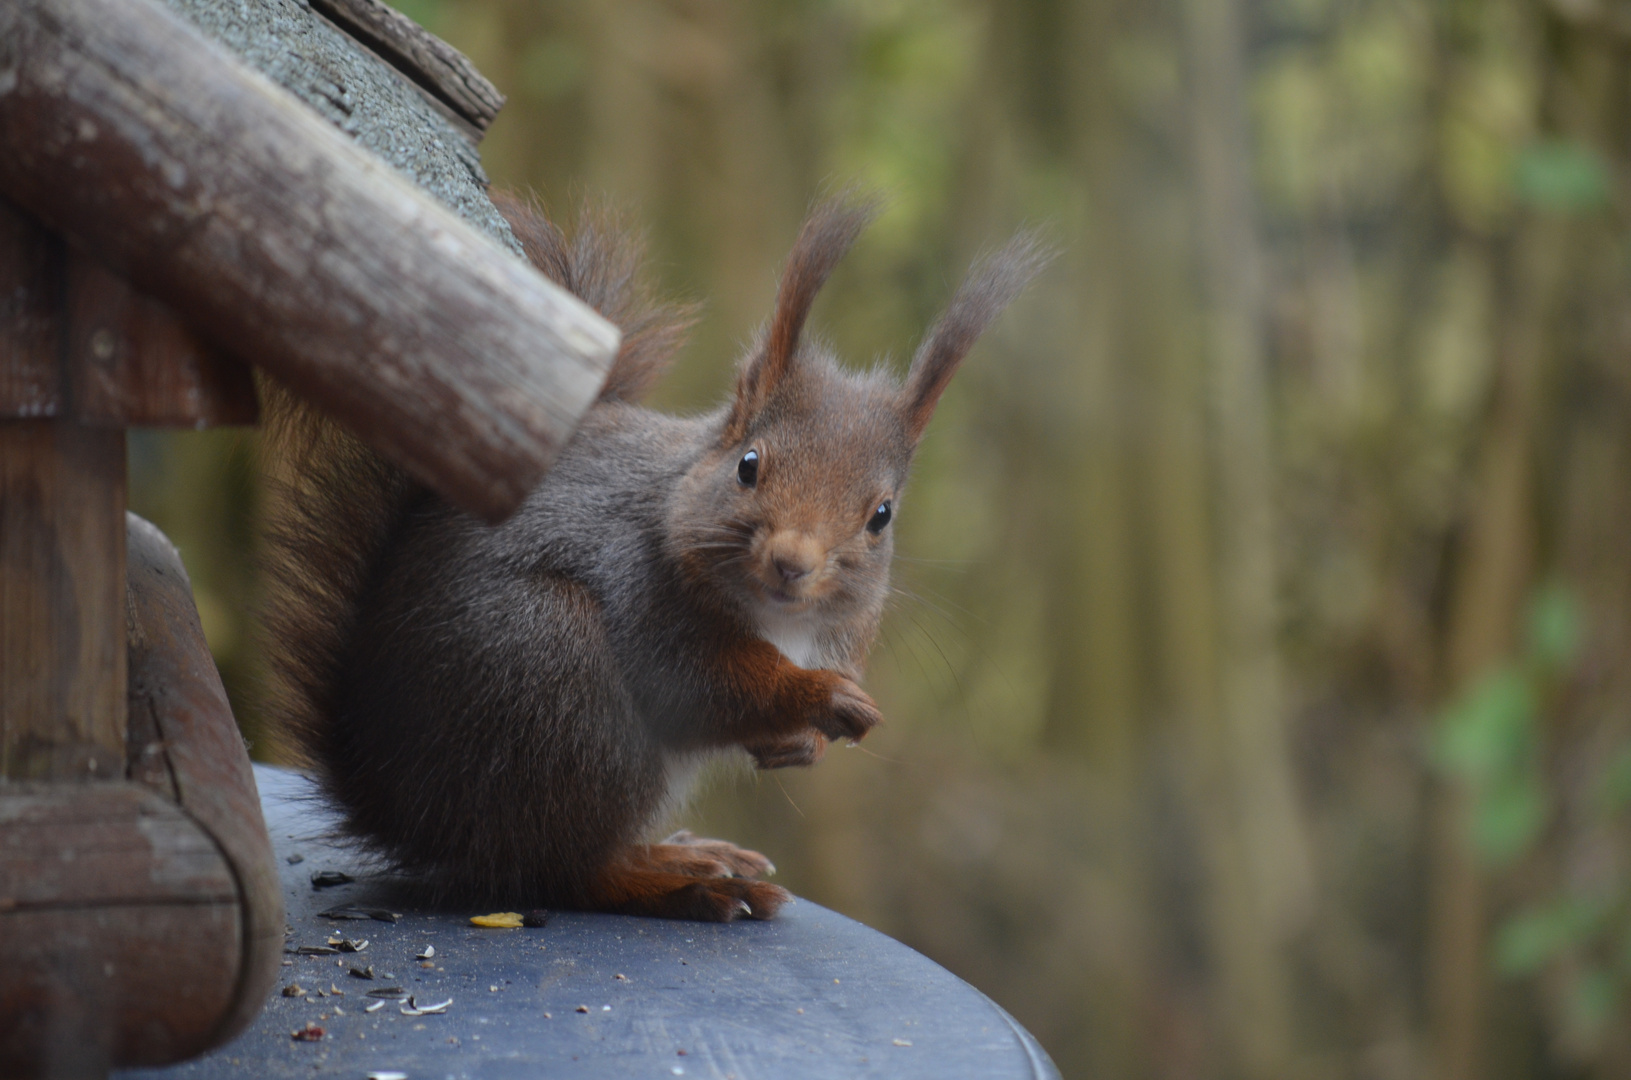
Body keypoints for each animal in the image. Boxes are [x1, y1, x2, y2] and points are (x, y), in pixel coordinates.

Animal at [254, 192, 1043, 920]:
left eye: (881, 516)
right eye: (748, 466)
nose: (792, 562)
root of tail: (397, 803)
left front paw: (804, 743)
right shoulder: (641, 586)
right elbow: (704, 686)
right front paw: (822, 698)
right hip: (549, 682)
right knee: (564, 868)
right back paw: (682, 880)